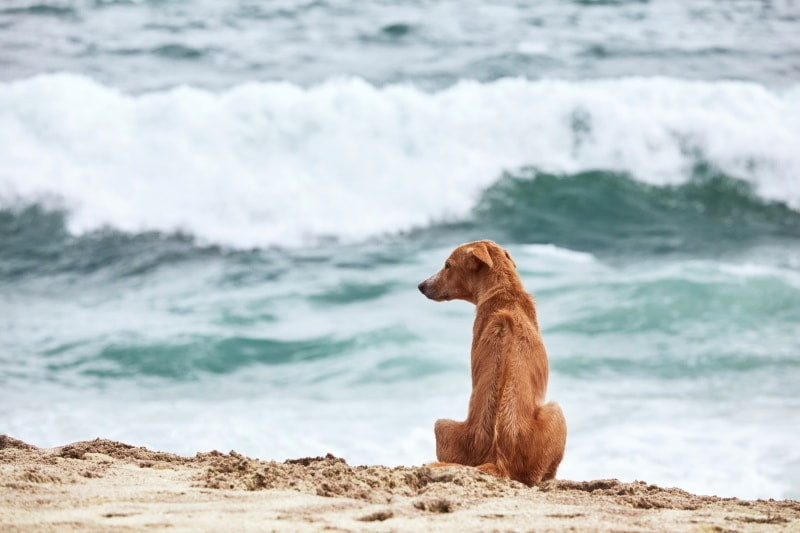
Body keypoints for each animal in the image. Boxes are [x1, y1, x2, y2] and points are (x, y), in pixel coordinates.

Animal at [416, 241, 564, 486]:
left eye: (448, 265)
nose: (420, 286)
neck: (504, 291)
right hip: (555, 411)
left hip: (442, 425)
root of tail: (498, 459)